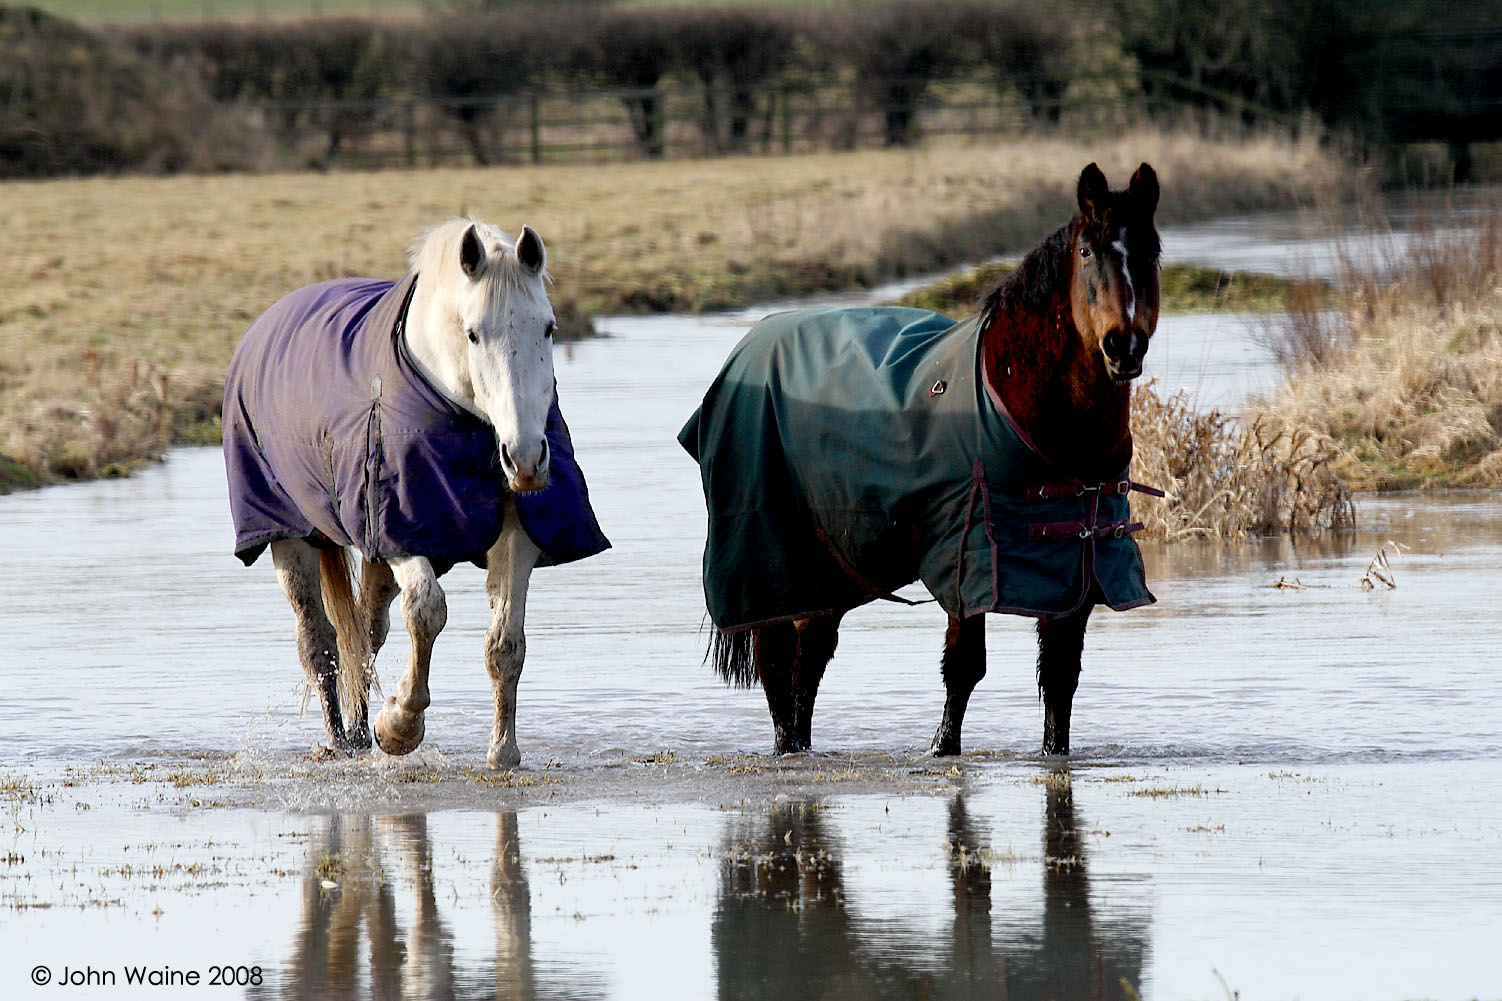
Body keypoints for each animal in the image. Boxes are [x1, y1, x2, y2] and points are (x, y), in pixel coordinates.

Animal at [219, 217, 606, 763]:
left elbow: (505, 644)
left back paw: (358, 732)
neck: (464, 419)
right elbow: (426, 612)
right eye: (473, 333)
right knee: (319, 642)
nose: (526, 459)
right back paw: (342, 740)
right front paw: (400, 724)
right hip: (289, 535)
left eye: (548, 328)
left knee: (364, 631)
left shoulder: (518, 535)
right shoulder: (402, 531)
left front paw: (503, 751)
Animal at [681, 163, 1159, 751]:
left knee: (808, 660)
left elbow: (1060, 677)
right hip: (769, 560)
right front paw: (941, 748)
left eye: (1152, 251)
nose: (1123, 346)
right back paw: (786, 749)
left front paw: (1053, 754)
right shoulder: (966, 559)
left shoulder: (1077, 569)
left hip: (829, 567)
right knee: (775, 658)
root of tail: (743, 351)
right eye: (1088, 252)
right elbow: (965, 666)